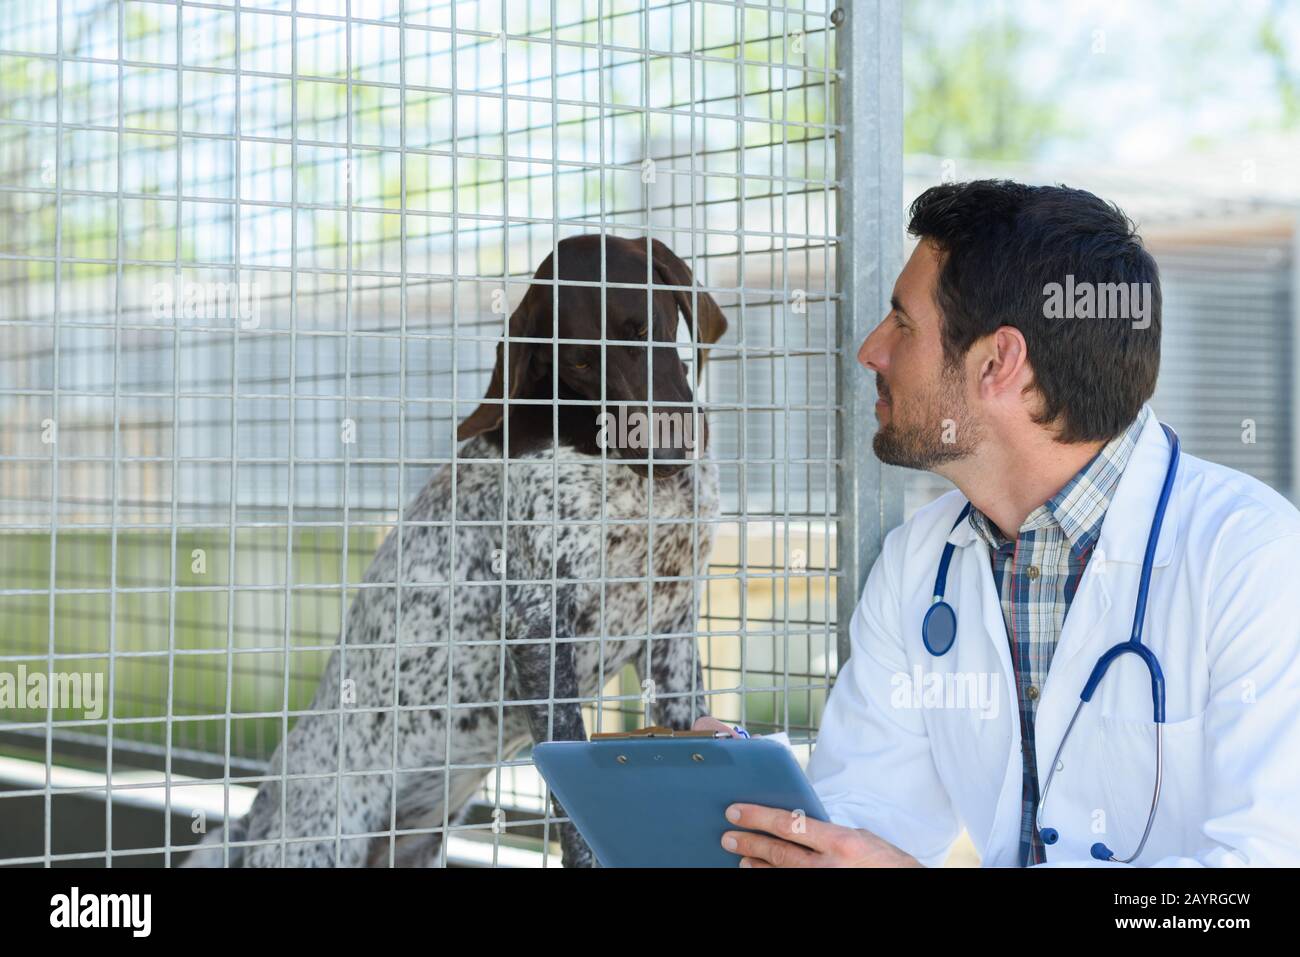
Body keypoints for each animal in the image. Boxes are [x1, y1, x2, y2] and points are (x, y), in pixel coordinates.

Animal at [184, 237, 728, 868]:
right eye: (579, 363)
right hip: (322, 843)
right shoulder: (538, 627)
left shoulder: (671, 630)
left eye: (643, 327)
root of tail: (253, 823)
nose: (664, 453)